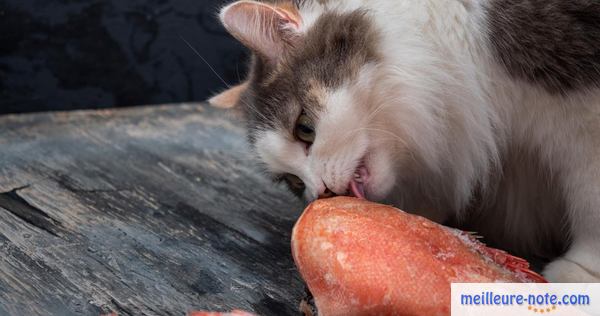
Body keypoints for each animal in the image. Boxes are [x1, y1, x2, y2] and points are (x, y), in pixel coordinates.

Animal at [210, 0, 600, 282]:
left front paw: (581, 271)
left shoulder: (580, 121)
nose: (323, 191)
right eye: (293, 182)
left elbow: (589, 199)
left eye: (304, 129)